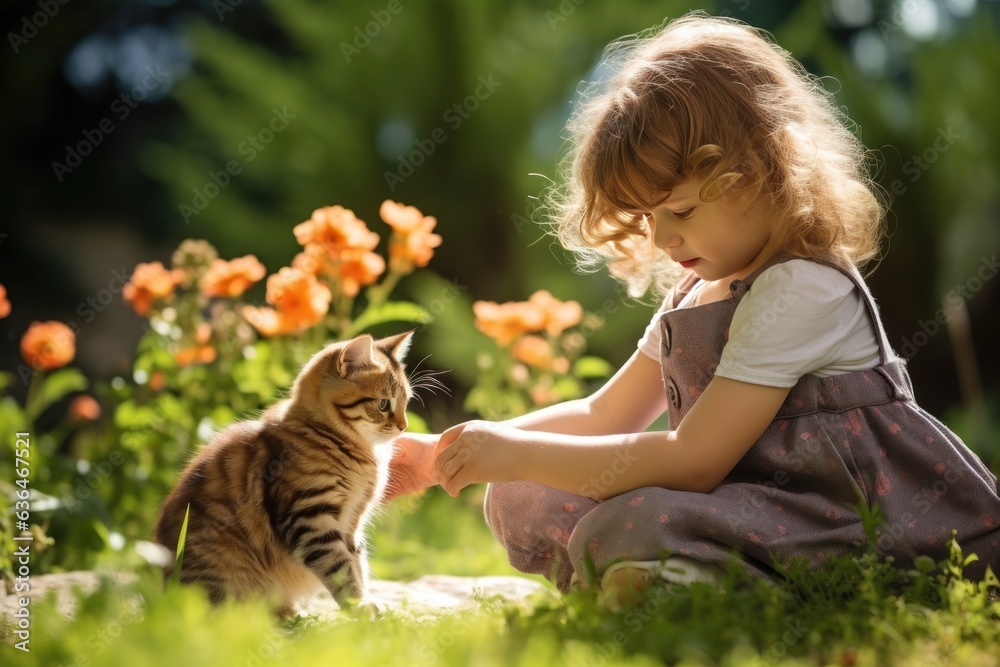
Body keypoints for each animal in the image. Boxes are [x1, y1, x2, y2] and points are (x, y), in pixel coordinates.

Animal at [154, 332, 412, 612]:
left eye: (406, 401)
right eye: (383, 404)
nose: (404, 426)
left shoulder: (352, 523)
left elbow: (358, 564)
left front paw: (367, 601)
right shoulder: (309, 518)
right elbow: (340, 568)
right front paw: (361, 606)